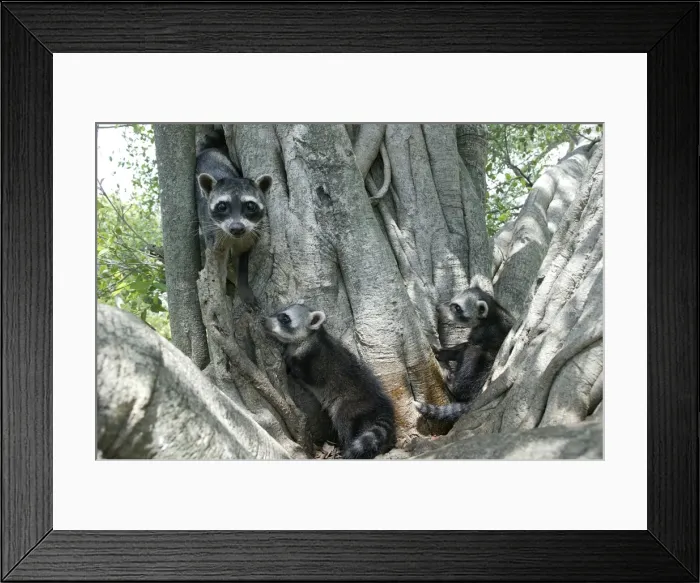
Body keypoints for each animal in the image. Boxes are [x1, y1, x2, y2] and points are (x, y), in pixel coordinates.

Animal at [195, 128, 271, 308]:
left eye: (250, 206)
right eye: (222, 206)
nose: (237, 228)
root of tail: (209, 150)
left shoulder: (248, 234)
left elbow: (242, 258)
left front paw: (243, 287)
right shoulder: (213, 234)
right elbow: (217, 265)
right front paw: (220, 295)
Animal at [264, 303, 396, 459]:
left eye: (285, 318)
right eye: (278, 312)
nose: (264, 321)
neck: (310, 336)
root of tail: (381, 405)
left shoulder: (314, 359)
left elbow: (305, 374)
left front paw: (288, 362)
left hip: (350, 406)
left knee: (345, 424)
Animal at [415, 287, 514, 422]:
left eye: (457, 308)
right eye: (452, 300)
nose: (438, 307)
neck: (493, 311)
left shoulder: (488, 332)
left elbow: (466, 348)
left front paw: (444, 353)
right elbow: (461, 346)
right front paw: (443, 352)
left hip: (484, 370)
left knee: (473, 354)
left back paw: (453, 384)